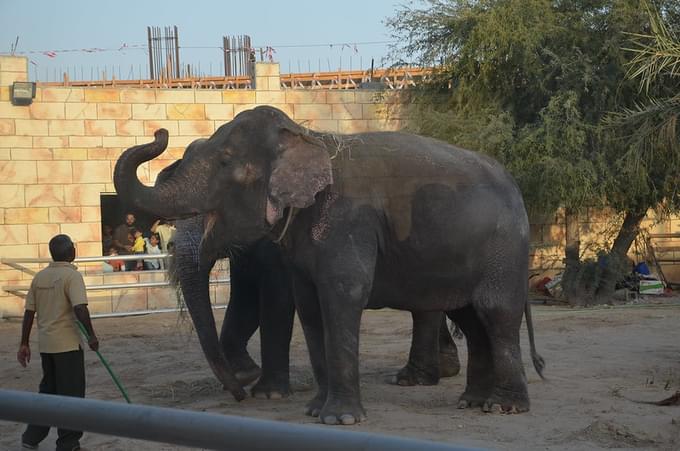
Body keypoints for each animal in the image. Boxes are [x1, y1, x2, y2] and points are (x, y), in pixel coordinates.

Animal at [114, 107, 544, 428]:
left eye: (224, 162)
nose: (160, 131)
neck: (307, 137)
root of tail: (516, 186)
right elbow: (308, 305)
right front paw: (313, 410)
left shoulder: (347, 220)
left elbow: (340, 295)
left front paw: (340, 419)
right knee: (470, 317)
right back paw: (471, 402)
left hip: (504, 247)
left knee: (494, 312)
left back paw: (503, 407)